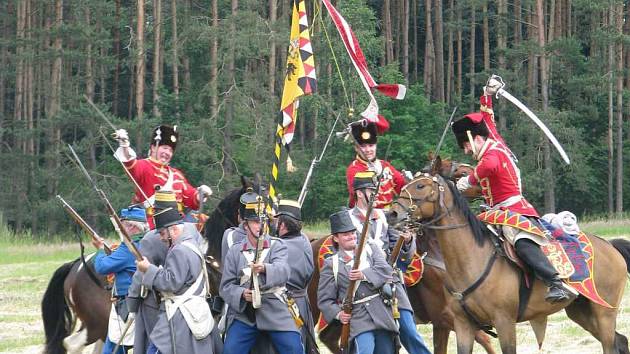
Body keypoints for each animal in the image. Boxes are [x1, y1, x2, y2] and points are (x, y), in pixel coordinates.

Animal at [390, 170, 630, 352]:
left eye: (420, 186)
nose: (393, 213)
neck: (471, 259)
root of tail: (609, 246)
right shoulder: (462, 325)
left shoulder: (504, 322)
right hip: (581, 312)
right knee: (620, 341)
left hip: (604, 313)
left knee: (610, 345)